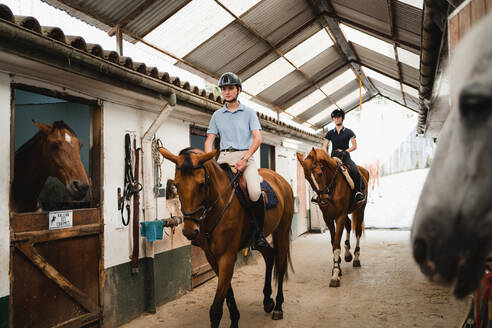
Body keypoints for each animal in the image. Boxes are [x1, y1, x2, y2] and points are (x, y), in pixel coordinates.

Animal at [160, 148, 294, 328]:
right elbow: (228, 295)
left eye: (201, 184)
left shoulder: (227, 256)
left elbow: (216, 308)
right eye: (176, 184)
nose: (190, 232)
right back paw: (267, 301)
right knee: (269, 256)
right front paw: (235, 319)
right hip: (257, 240)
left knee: (280, 263)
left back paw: (278, 306)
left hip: (282, 232)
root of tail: (280, 180)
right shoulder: (212, 257)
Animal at [296, 149, 368, 288]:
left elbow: (336, 244)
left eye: (319, 174)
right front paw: (338, 267)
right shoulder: (328, 218)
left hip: (360, 209)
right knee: (349, 225)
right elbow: (333, 241)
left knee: (357, 231)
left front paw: (335, 275)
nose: (323, 200)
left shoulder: (339, 216)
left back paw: (356, 258)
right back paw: (347, 254)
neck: (332, 187)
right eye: (307, 178)